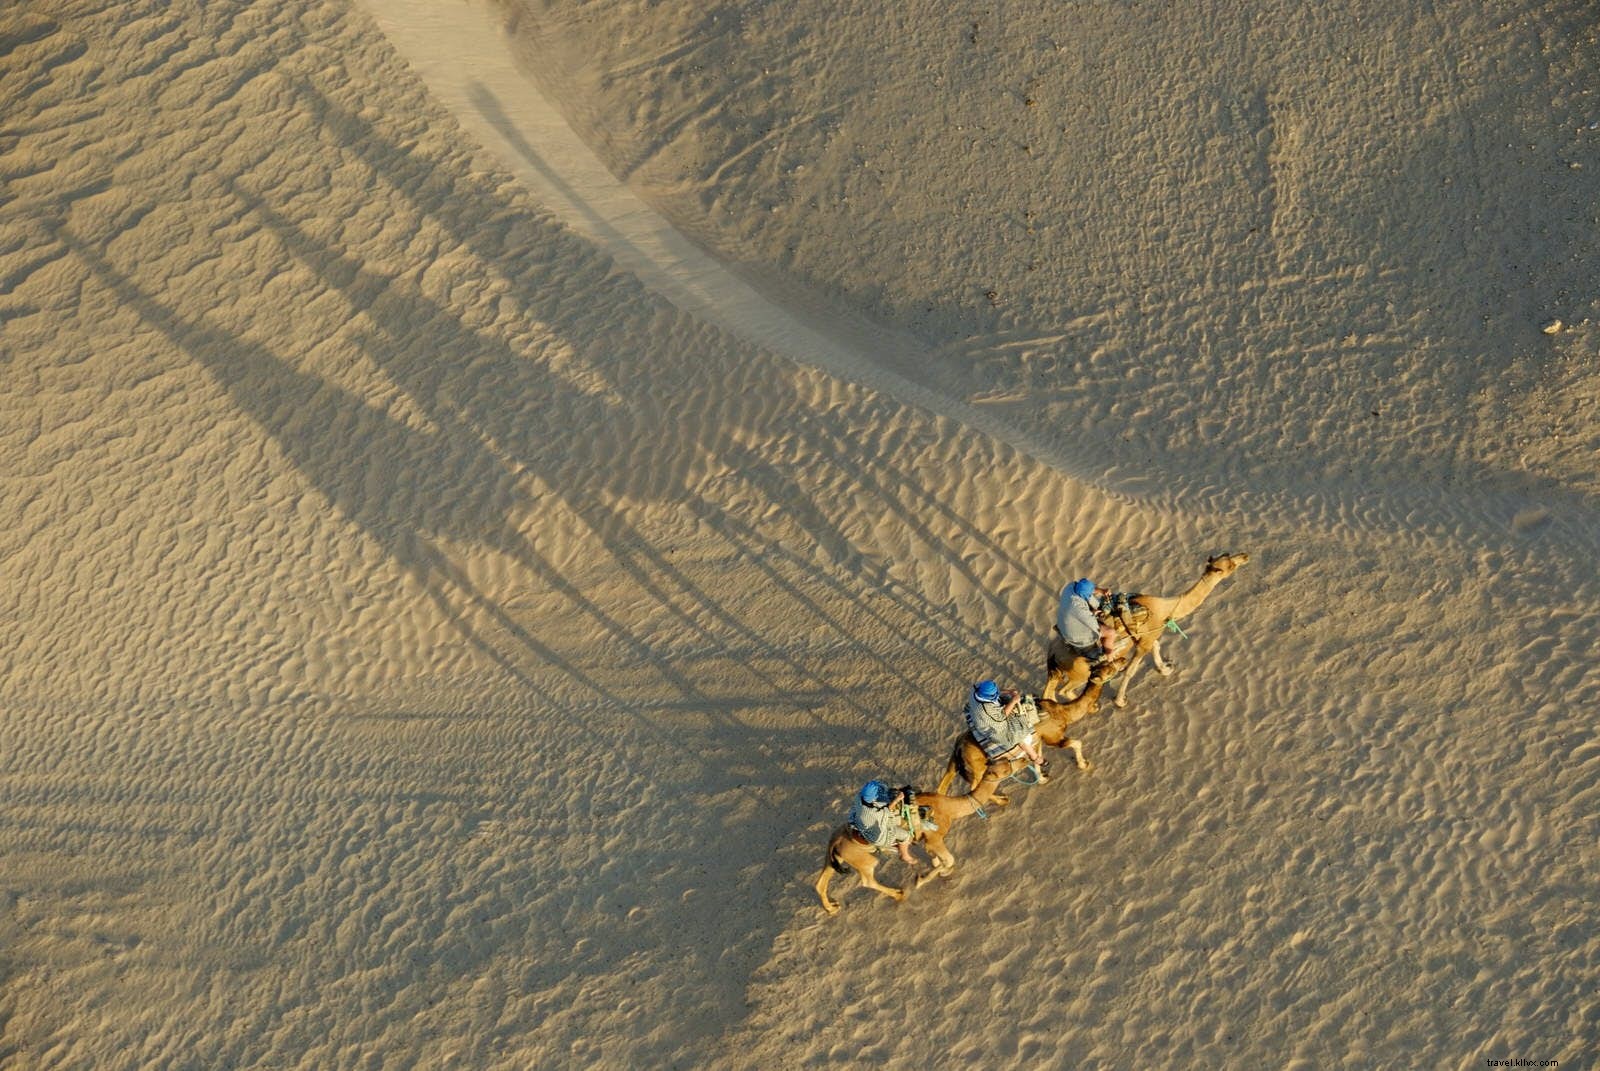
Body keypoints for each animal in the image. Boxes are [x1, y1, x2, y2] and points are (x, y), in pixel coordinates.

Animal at [813, 773, 1003, 916]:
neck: (951, 807)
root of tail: (836, 841)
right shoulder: (934, 838)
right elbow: (948, 860)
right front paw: (921, 879)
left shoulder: (927, 840)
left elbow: (939, 859)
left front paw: (939, 871)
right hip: (865, 861)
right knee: (868, 881)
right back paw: (899, 893)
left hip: (834, 858)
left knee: (820, 883)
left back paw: (831, 908)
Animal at [935, 676, 1113, 802]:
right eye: (1111, 666)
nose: (1121, 660)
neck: (1063, 712)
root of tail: (959, 748)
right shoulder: (1052, 737)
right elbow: (1076, 743)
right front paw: (1084, 764)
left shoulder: (1037, 740)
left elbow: (1037, 760)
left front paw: (1042, 778)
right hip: (979, 768)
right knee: (975, 788)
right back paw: (1002, 800)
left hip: (954, 764)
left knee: (944, 786)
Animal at [1044, 551, 1250, 709]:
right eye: (1230, 565)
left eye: (1227, 555)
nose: (1245, 556)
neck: (1167, 608)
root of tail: (1053, 651)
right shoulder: (1144, 642)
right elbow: (1131, 670)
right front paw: (1120, 701)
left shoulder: (1146, 637)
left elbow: (1156, 647)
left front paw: (1165, 669)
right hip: (1080, 672)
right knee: (1065, 690)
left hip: (1057, 671)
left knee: (1051, 691)